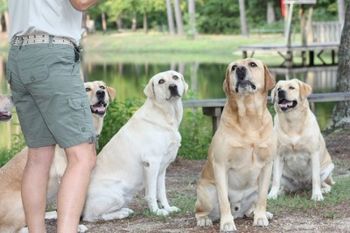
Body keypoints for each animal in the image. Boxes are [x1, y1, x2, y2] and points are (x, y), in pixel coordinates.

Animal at [81, 70, 187, 221]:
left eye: (175, 77)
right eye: (161, 81)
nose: (172, 87)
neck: (166, 115)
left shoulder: (162, 168)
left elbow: (162, 192)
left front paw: (168, 208)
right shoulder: (151, 163)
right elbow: (151, 193)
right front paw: (157, 211)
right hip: (117, 194)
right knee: (93, 216)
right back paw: (122, 213)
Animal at [194, 58, 276, 231]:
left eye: (252, 64)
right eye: (233, 67)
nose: (240, 70)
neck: (249, 116)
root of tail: (238, 211)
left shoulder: (267, 165)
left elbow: (262, 198)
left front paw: (260, 217)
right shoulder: (220, 165)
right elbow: (224, 200)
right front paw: (227, 223)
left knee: (253, 204)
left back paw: (259, 213)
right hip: (207, 193)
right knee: (200, 211)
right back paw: (204, 219)